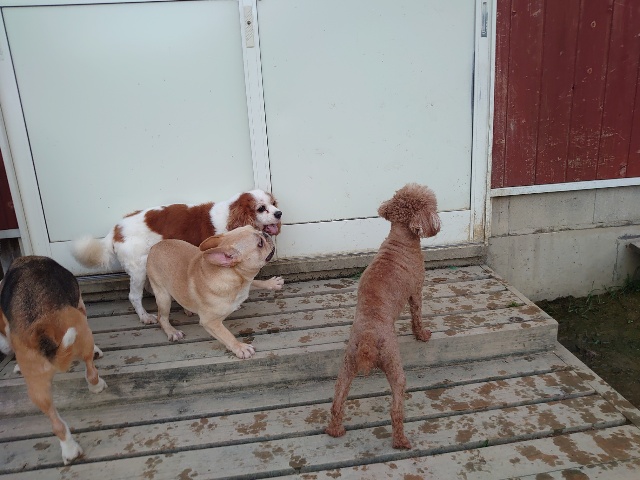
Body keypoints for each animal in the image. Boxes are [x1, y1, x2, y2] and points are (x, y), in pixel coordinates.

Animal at [0, 256, 107, 465]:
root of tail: (41, 329)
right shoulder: (81, 306)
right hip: (82, 331)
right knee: (90, 371)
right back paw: (97, 386)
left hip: (36, 387)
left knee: (56, 424)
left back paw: (70, 450)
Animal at [72, 189, 284, 325]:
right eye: (261, 208)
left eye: (273, 204)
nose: (279, 213)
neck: (229, 217)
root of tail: (115, 230)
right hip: (138, 268)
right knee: (134, 295)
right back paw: (145, 316)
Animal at [146, 225, 276, 359]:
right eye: (260, 244)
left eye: (255, 228)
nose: (265, 233)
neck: (235, 276)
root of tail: (154, 246)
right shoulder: (210, 322)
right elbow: (226, 335)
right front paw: (240, 347)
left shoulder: (247, 282)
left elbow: (256, 282)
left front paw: (271, 283)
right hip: (163, 297)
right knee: (162, 317)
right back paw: (172, 331)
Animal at [325, 183, 441, 449]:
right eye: (430, 205)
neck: (401, 240)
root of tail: (368, 340)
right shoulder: (416, 291)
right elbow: (417, 316)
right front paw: (422, 335)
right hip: (394, 366)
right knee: (396, 409)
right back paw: (401, 441)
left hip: (347, 365)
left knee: (337, 402)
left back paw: (335, 430)